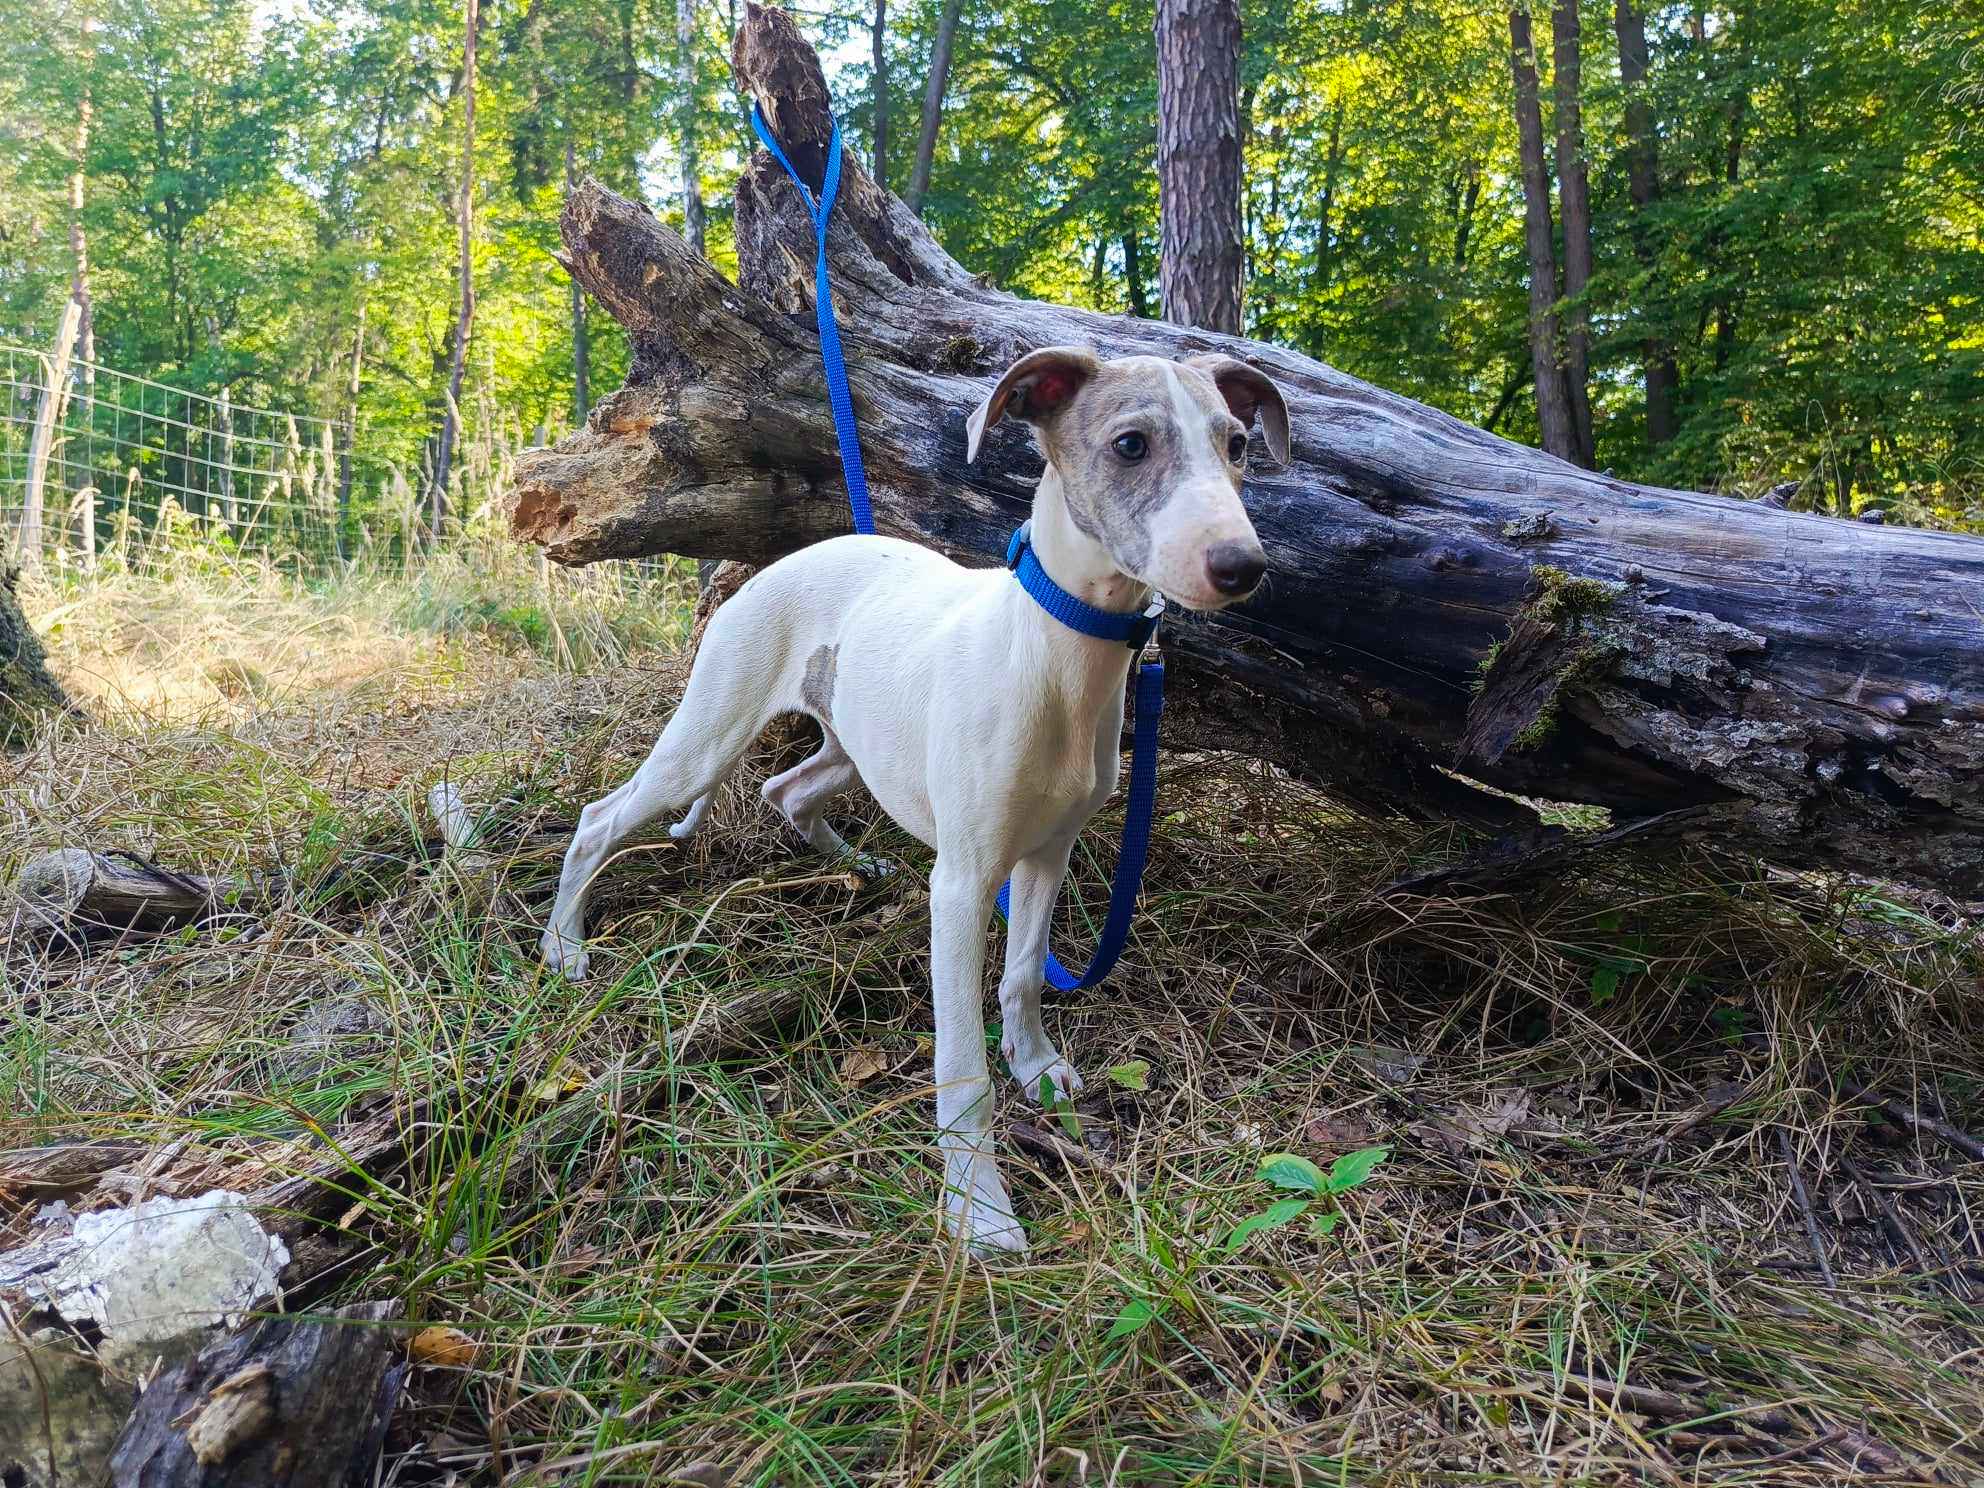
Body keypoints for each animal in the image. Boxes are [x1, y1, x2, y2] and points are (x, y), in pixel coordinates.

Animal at [543, 349, 1285, 1261]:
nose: (1241, 566)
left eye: (1236, 444)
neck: (1056, 653)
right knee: (601, 821)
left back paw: (858, 865)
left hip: (854, 748)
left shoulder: (1048, 853)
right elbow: (963, 1067)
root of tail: (776, 565)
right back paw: (564, 945)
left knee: (785, 789)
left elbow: (1024, 974)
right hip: (705, 739)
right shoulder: (965, 885)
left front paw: (1037, 1067)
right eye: (1131, 444)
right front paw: (980, 1209)